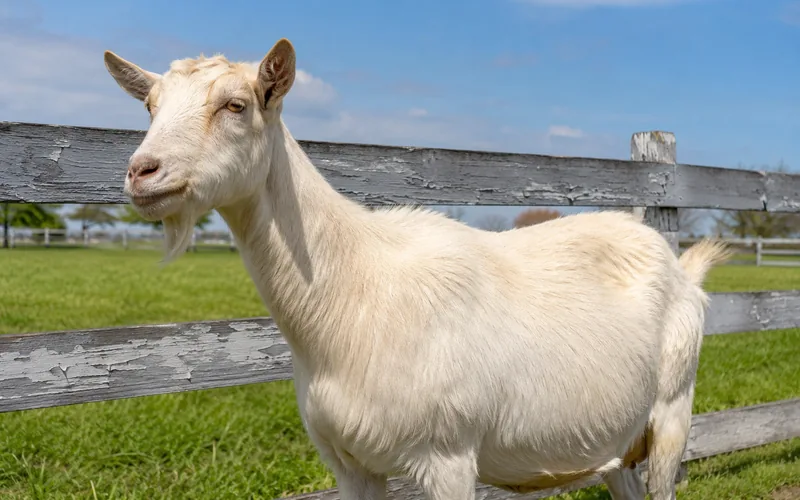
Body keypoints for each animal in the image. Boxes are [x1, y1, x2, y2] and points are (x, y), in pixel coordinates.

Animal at [104, 38, 731, 500]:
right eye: (150, 106)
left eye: (236, 105)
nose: (142, 172)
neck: (353, 294)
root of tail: (679, 264)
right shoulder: (349, 462)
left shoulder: (448, 456)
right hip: (616, 440)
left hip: (673, 408)